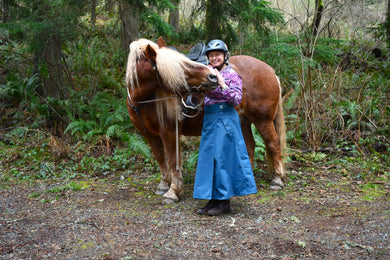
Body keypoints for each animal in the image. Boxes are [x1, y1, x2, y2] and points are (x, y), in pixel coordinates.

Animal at [126, 37, 288, 204]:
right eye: (180, 67)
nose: (213, 76)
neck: (142, 100)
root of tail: (270, 71)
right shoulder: (148, 134)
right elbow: (160, 158)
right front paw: (164, 185)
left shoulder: (169, 131)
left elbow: (172, 160)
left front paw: (173, 191)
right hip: (244, 121)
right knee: (249, 145)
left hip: (263, 121)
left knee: (273, 144)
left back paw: (277, 180)